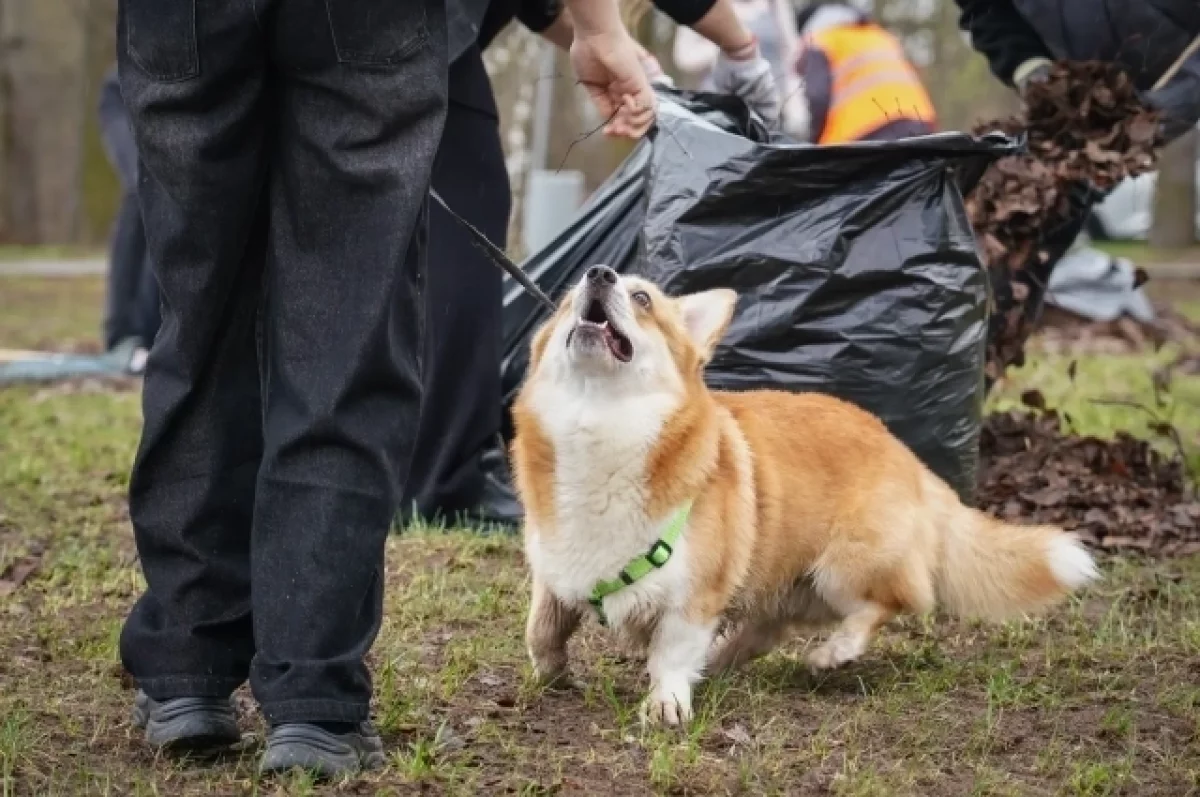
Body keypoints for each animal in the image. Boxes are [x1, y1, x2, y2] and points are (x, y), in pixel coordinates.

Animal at [510, 265, 1098, 726]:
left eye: (642, 299)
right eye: (566, 300)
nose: (598, 273)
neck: (600, 420)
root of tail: (911, 459)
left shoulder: (694, 596)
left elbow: (672, 653)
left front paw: (667, 702)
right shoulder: (555, 569)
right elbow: (541, 629)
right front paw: (551, 673)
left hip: (842, 569)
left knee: (894, 602)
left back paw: (832, 652)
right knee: (765, 632)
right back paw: (721, 661)